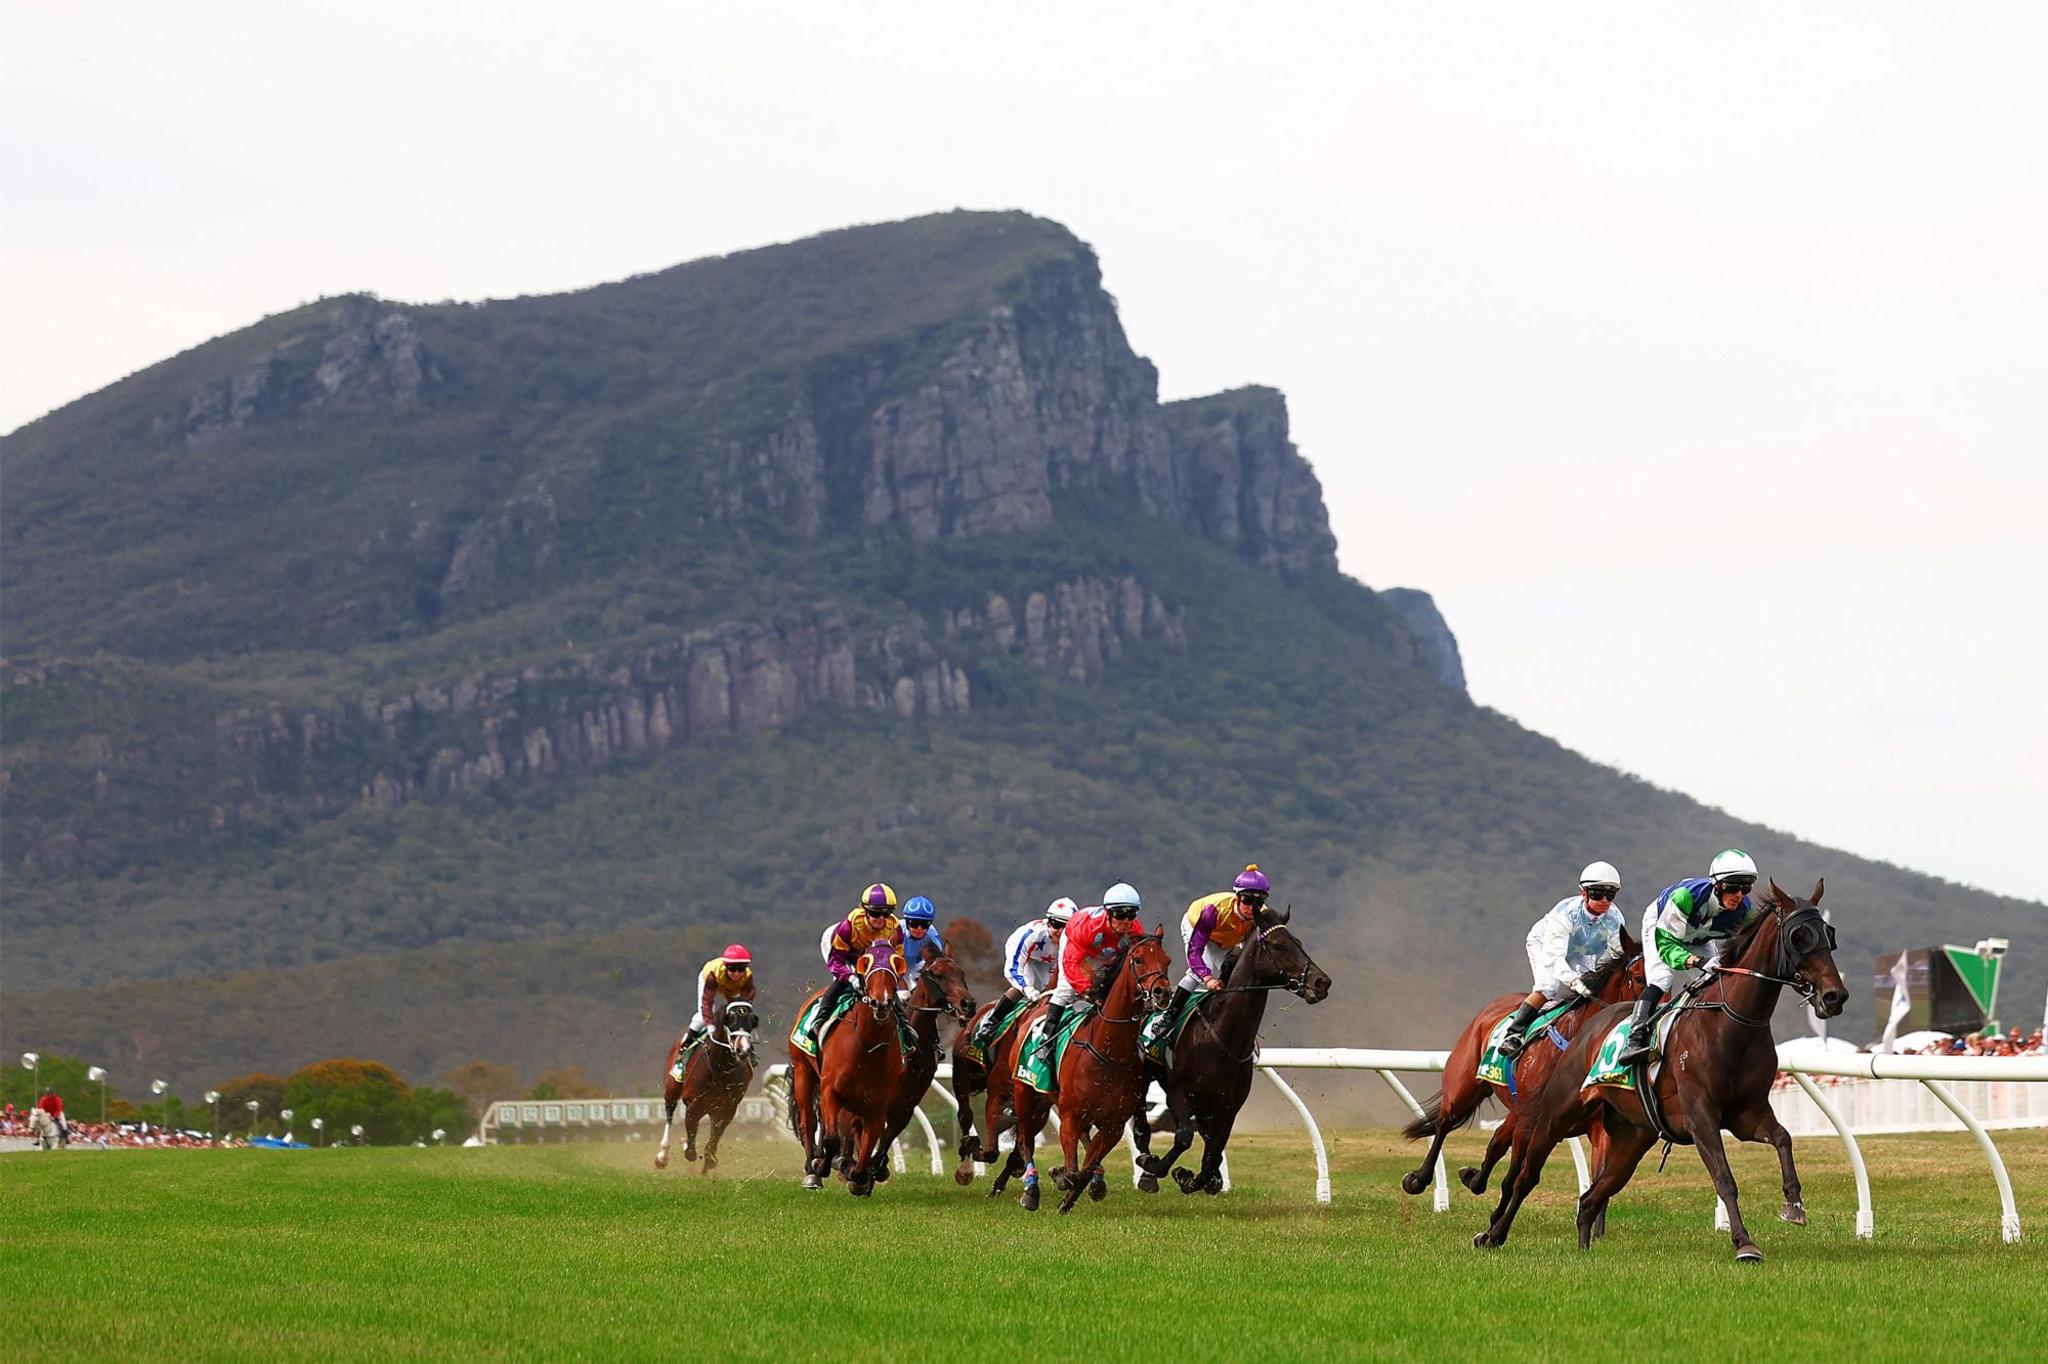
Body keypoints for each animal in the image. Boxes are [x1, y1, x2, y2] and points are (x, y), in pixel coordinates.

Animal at [655, 987, 753, 1171]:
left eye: (753, 1020)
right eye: (730, 1019)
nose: (743, 1048)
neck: (721, 1069)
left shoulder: (727, 1108)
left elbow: (711, 1145)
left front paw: (708, 1159)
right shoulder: (694, 1102)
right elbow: (691, 1147)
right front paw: (685, 1145)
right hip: (672, 1087)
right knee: (669, 1112)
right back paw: (662, 1156)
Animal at [1003, 929, 1171, 1204]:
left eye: (1167, 961)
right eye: (1138, 960)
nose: (1161, 993)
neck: (1108, 1051)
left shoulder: (1113, 1125)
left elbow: (1086, 1168)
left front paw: (1073, 1193)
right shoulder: (1070, 1116)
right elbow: (1074, 1168)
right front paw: (1060, 1177)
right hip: (1025, 1093)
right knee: (1025, 1139)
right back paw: (1031, 1190)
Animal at [1130, 913, 1335, 1187]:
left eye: (1298, 942)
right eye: (1279, 945)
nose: (1321, 982)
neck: (1223, 1040)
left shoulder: (1227, 1108)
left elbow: (1212, 1158)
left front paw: (1192, 1177)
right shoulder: (1177, 1093)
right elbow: (1184, 1137)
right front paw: (1157, 1168)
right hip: (1142, 1076)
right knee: (1140, 1117)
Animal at [1400, 925, 1638, 1204]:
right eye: (1638, 977)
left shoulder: (1596, 1128)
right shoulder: (1530, 1123)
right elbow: (1513, 1179)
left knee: (1496, 1141)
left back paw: (1474, 1178)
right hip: (1465, 1086)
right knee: (1445, 1122)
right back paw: (1419, 1179)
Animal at [1474, 880, 1843, 1253]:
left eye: (1829, 935)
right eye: (1798, 936)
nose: (1834, 996)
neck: (1731, 1023)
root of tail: (1591, 1026)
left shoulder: (1747, 1113)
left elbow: (1783, 1138)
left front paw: (1793, 1204)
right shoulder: (1700, 1116)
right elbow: (1724, 1178)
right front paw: (1743, 1243)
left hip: (1632, 1136)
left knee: (1592, 1197)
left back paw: (1583, 1249)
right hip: (1556, 1116)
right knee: (1526, 1177)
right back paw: (1492, 1234)